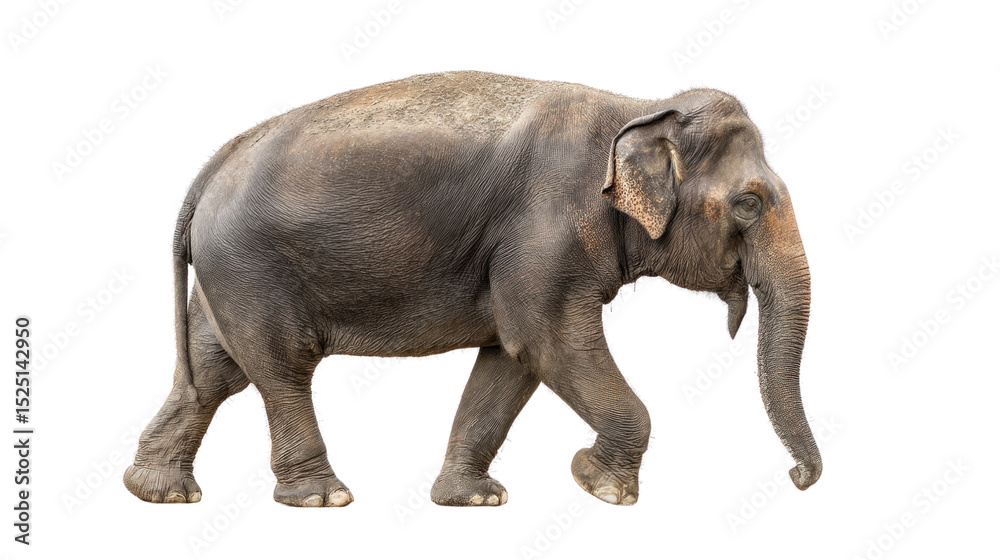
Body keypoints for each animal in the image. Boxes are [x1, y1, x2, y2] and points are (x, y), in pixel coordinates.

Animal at [124, 70, 821, 508]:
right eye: (750, 203)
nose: (799, 478)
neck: (637, 107)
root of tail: (209, 168)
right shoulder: (545, 229)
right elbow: (547, 340)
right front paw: (600, 487)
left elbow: (512, 358)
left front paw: (473, 500)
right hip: (250, 267)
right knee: (280, 367)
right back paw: (322, 497)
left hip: (225, 274)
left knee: (214, 371)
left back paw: (159, 492)